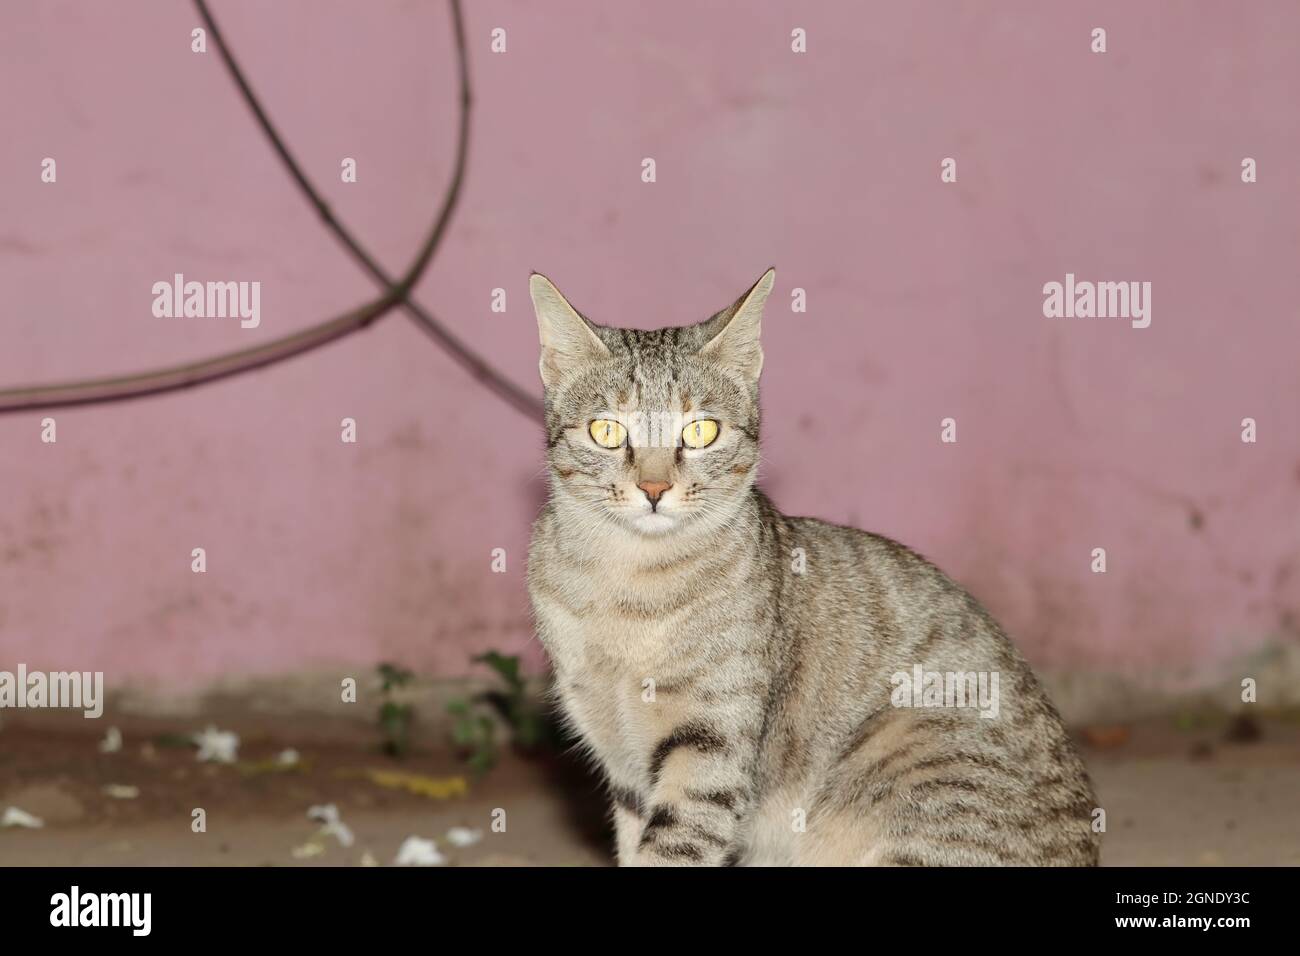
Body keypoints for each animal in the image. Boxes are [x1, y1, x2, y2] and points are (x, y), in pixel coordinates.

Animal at [522, 269, 1102, 868]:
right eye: (607, 431)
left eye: (702, 431)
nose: (654, 488)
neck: (626, 586)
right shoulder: (622, 762)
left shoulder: (709, 746)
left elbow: (674, 847)